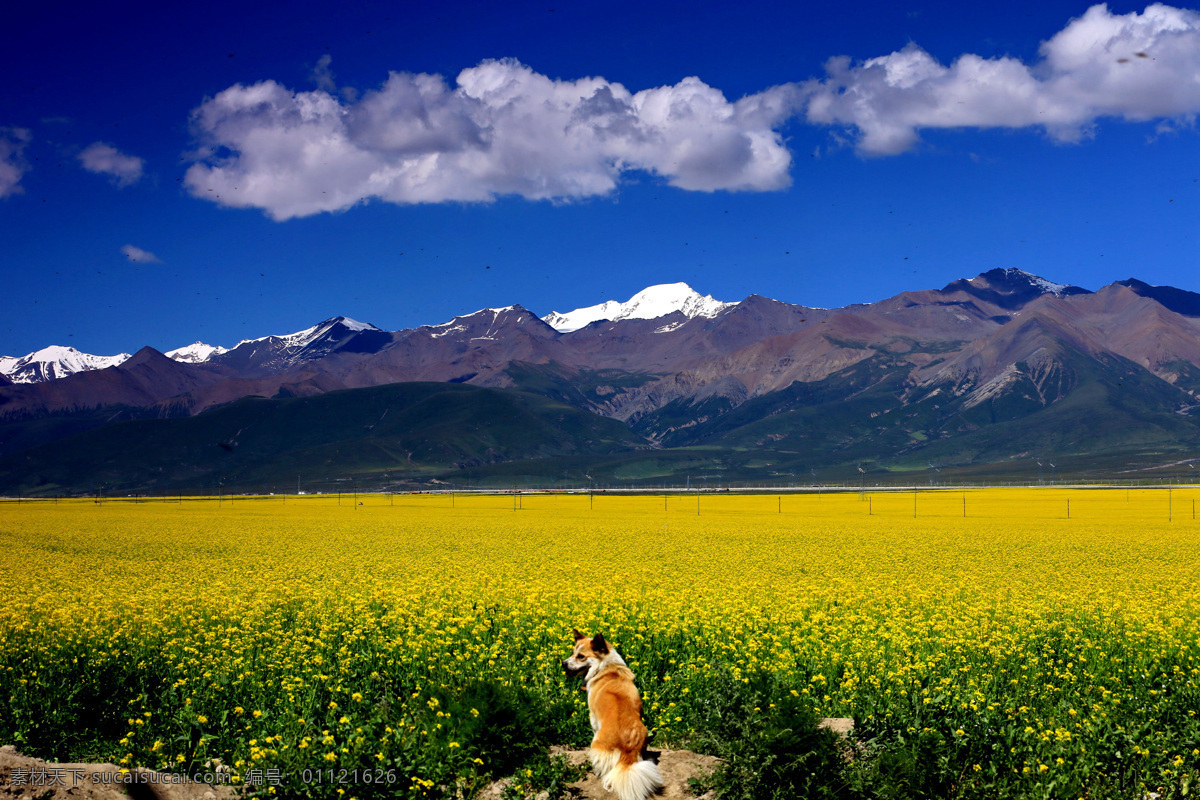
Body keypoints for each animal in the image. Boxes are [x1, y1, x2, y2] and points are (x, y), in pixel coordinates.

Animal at [564, 633, 667, 800]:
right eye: (573, 653)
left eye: (580, 657)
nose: (563, 663)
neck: (605, 668)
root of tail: (628, 749)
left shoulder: (594, 719)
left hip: (597, 744)